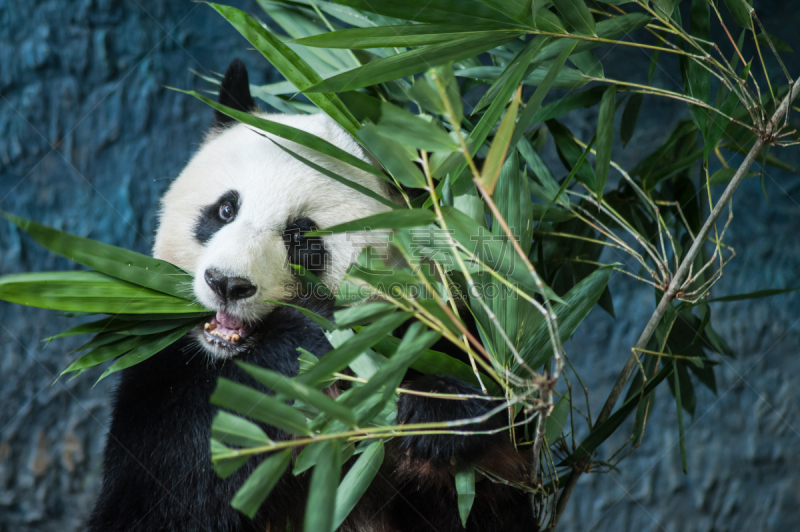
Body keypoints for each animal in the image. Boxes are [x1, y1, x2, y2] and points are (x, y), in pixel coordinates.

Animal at [86, 59, 536, 532]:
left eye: (302, 236)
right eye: (225, 210)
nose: (227, 283)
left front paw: (441, 414)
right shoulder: (163, 367)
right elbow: (166, 483)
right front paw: (306, 331)